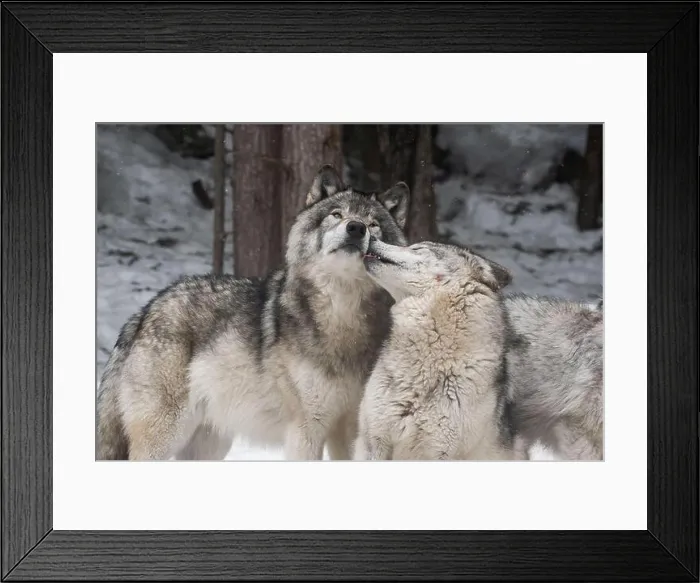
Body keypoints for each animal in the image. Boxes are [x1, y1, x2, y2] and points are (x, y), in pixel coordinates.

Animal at [97, 165, 410, 460]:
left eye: (374, 224)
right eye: (336, 214)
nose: (356, 228)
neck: (342, 314)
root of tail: (144, 311)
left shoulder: (350, 429)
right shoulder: (306, 427)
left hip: (209, 444)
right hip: (166, 434)